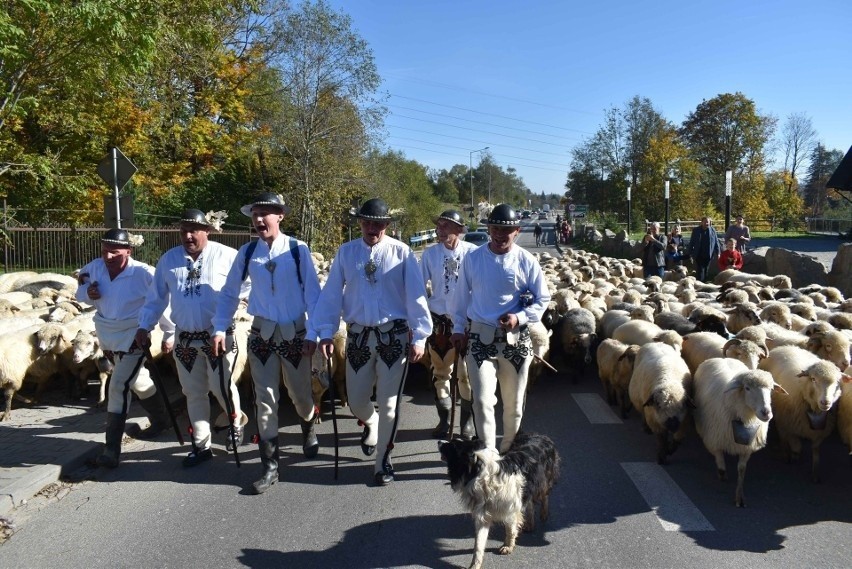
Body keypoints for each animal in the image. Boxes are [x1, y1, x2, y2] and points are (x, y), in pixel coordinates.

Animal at [440, 430, 560, 568]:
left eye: (452, 447)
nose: (439, 441)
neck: (482, 475)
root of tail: (541, 435)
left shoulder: (510, 509)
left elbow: (510, 530)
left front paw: (508, 546)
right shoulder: (483, 514)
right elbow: (479, 543)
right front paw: (475, 565)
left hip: (543, 479)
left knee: (545, 495)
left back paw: (544, 514)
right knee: (529, 502)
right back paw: (530, 524)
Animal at [692, 358, 784, 508]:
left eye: (771, 389)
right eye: (747, 388)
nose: (766, 413)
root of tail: (722, 358)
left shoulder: (747, 446)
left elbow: (741, 469)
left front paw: (739, 497)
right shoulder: (715, 440)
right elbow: (721, 464)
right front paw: (722, 475)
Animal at [760, 344, 852, 482]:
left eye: (837, 382)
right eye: (813, 379)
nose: (826, 402)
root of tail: (784, 346)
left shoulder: (820, 431)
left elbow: (816, 452)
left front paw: (815, 474)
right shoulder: (787, 424)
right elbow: (795, 446)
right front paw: (791, 457)